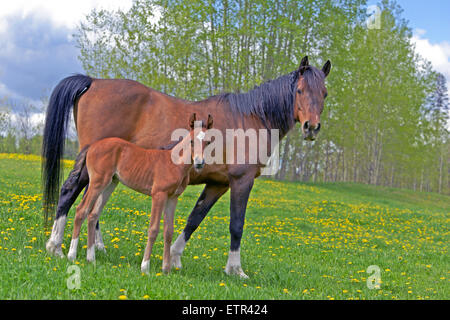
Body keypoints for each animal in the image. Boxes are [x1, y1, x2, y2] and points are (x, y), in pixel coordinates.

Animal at [67, 114, 214, 274]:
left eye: (208, 142)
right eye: (192, 141)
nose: (199, 163)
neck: (174, 163)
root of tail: (93, 145)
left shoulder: (172, 198)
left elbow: (168, 232)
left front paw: (166, 269)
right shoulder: (159, 195)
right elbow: (154, 229)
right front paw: (145, 267)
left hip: (110, 184)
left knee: (93, 215)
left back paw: (91, 258)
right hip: (97, 182)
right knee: (82, 210)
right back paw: (71, 255)